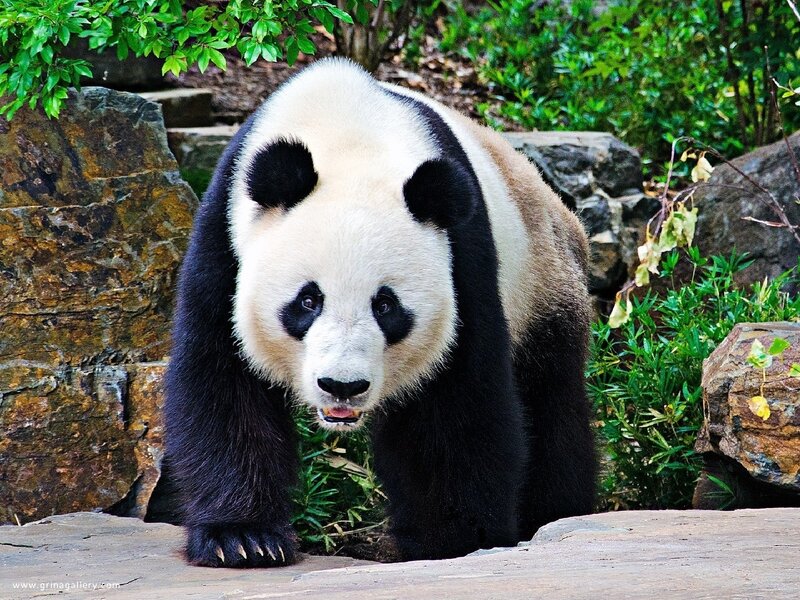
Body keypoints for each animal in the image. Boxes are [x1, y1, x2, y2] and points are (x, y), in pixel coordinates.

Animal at [164, 57, 596, 568]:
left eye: (385, 305)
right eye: (308, 301)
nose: (342, 386)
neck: (346, 131)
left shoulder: (463, 258)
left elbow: (453, 404)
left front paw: (452, 540)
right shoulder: (224, 239)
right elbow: (222, 379)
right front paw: (244, 539)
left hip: (541, 283)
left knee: (553, 407)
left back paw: (555, 513)